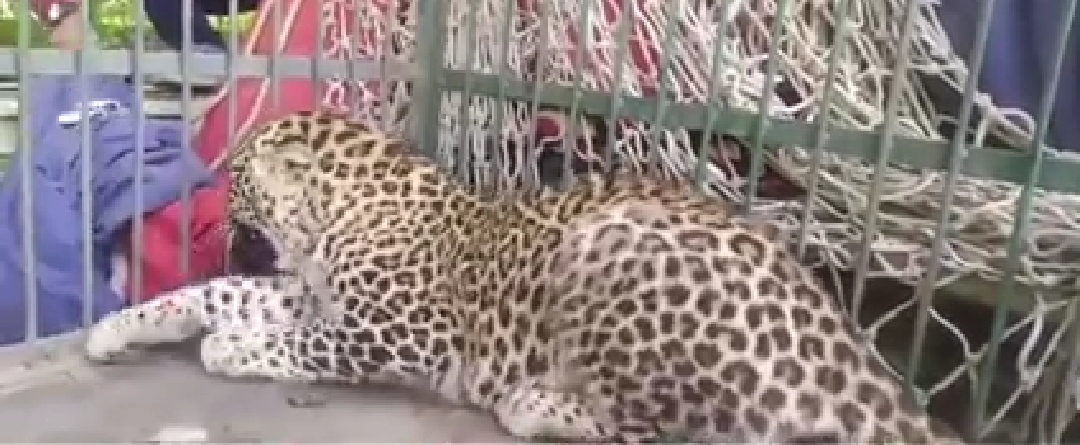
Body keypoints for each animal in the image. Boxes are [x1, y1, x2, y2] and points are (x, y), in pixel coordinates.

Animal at [84, 111, 965, 444]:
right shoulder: (308, 290)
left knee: (672, 428)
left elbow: (305, 345)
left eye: (237, 176)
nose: (221, 206)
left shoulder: (404, 332)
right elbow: (214, 296)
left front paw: (230, 349)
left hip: (610, 244)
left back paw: (535, 402)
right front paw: (119, 327)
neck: (338, 215)